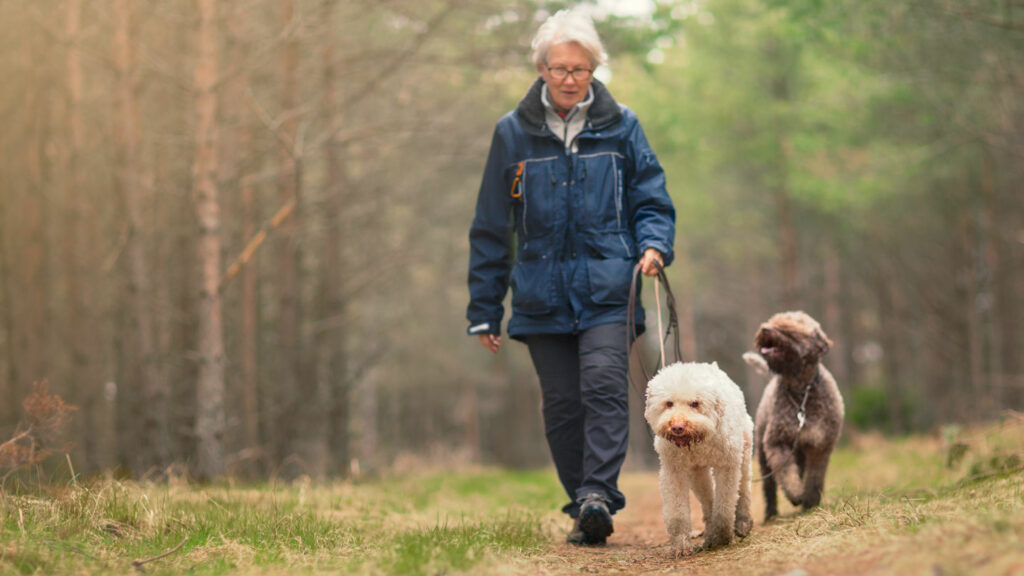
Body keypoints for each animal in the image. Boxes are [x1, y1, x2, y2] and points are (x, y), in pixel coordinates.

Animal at [643, 360, 757, 553]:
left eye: (695, 403)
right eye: (669, 403)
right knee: (707, 498)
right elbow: (677, 511)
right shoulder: (673, 470)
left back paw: (742, 522)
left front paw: (722, 536)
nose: (677, 427)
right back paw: (710, 530)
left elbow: (725, 505)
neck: (697, 441)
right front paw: (681, 545)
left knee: (743, 489)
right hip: (698, 473)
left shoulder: (727, 466)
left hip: (744, 453)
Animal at [741, 311, 843, 518]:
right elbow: (786, 473)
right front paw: (796, 494)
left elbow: (815, 476)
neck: (802, 392)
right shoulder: (777, 443)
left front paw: (810, 501)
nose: (765, 329)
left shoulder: (820, 445)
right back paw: (771, 513)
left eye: (788, 328)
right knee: (769, 485)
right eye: (773, 322)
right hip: (763, 454)